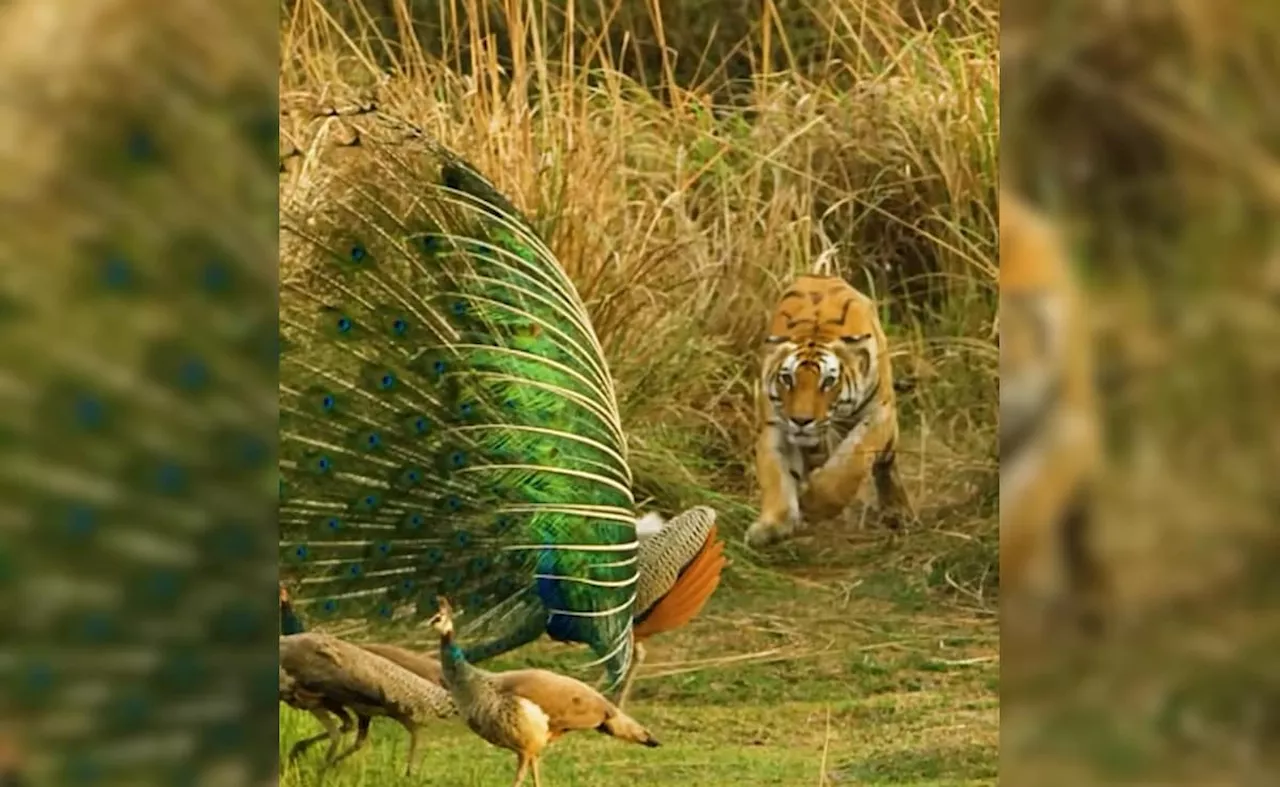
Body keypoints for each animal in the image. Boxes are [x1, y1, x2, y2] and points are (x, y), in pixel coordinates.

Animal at [747, 262, 916, 550]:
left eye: (828, 382)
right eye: (787, 379)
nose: (801, 421)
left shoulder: (878, 413)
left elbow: (850, 462)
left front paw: (814, 503)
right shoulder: (775, 425)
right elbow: (777, 476)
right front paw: (771, 526)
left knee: (886, 464)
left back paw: (898, 512)